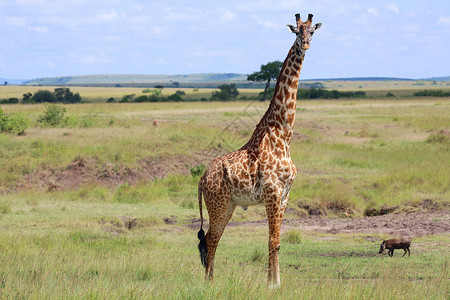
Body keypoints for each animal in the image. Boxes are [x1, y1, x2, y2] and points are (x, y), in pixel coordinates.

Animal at [197, 14, 320, 288]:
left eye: (312, 31)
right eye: (296, 30)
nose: (305, 44)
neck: (283, 135)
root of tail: (201, 178)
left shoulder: (284, 196)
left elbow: (277, 242)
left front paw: (277, 282)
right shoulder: (273, 193)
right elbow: (272, 241)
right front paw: (272, 284)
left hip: (228, 205)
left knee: (210, 238)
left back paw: (211, 279)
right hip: (218, 203)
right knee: (210, 239)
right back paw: (210, 283)